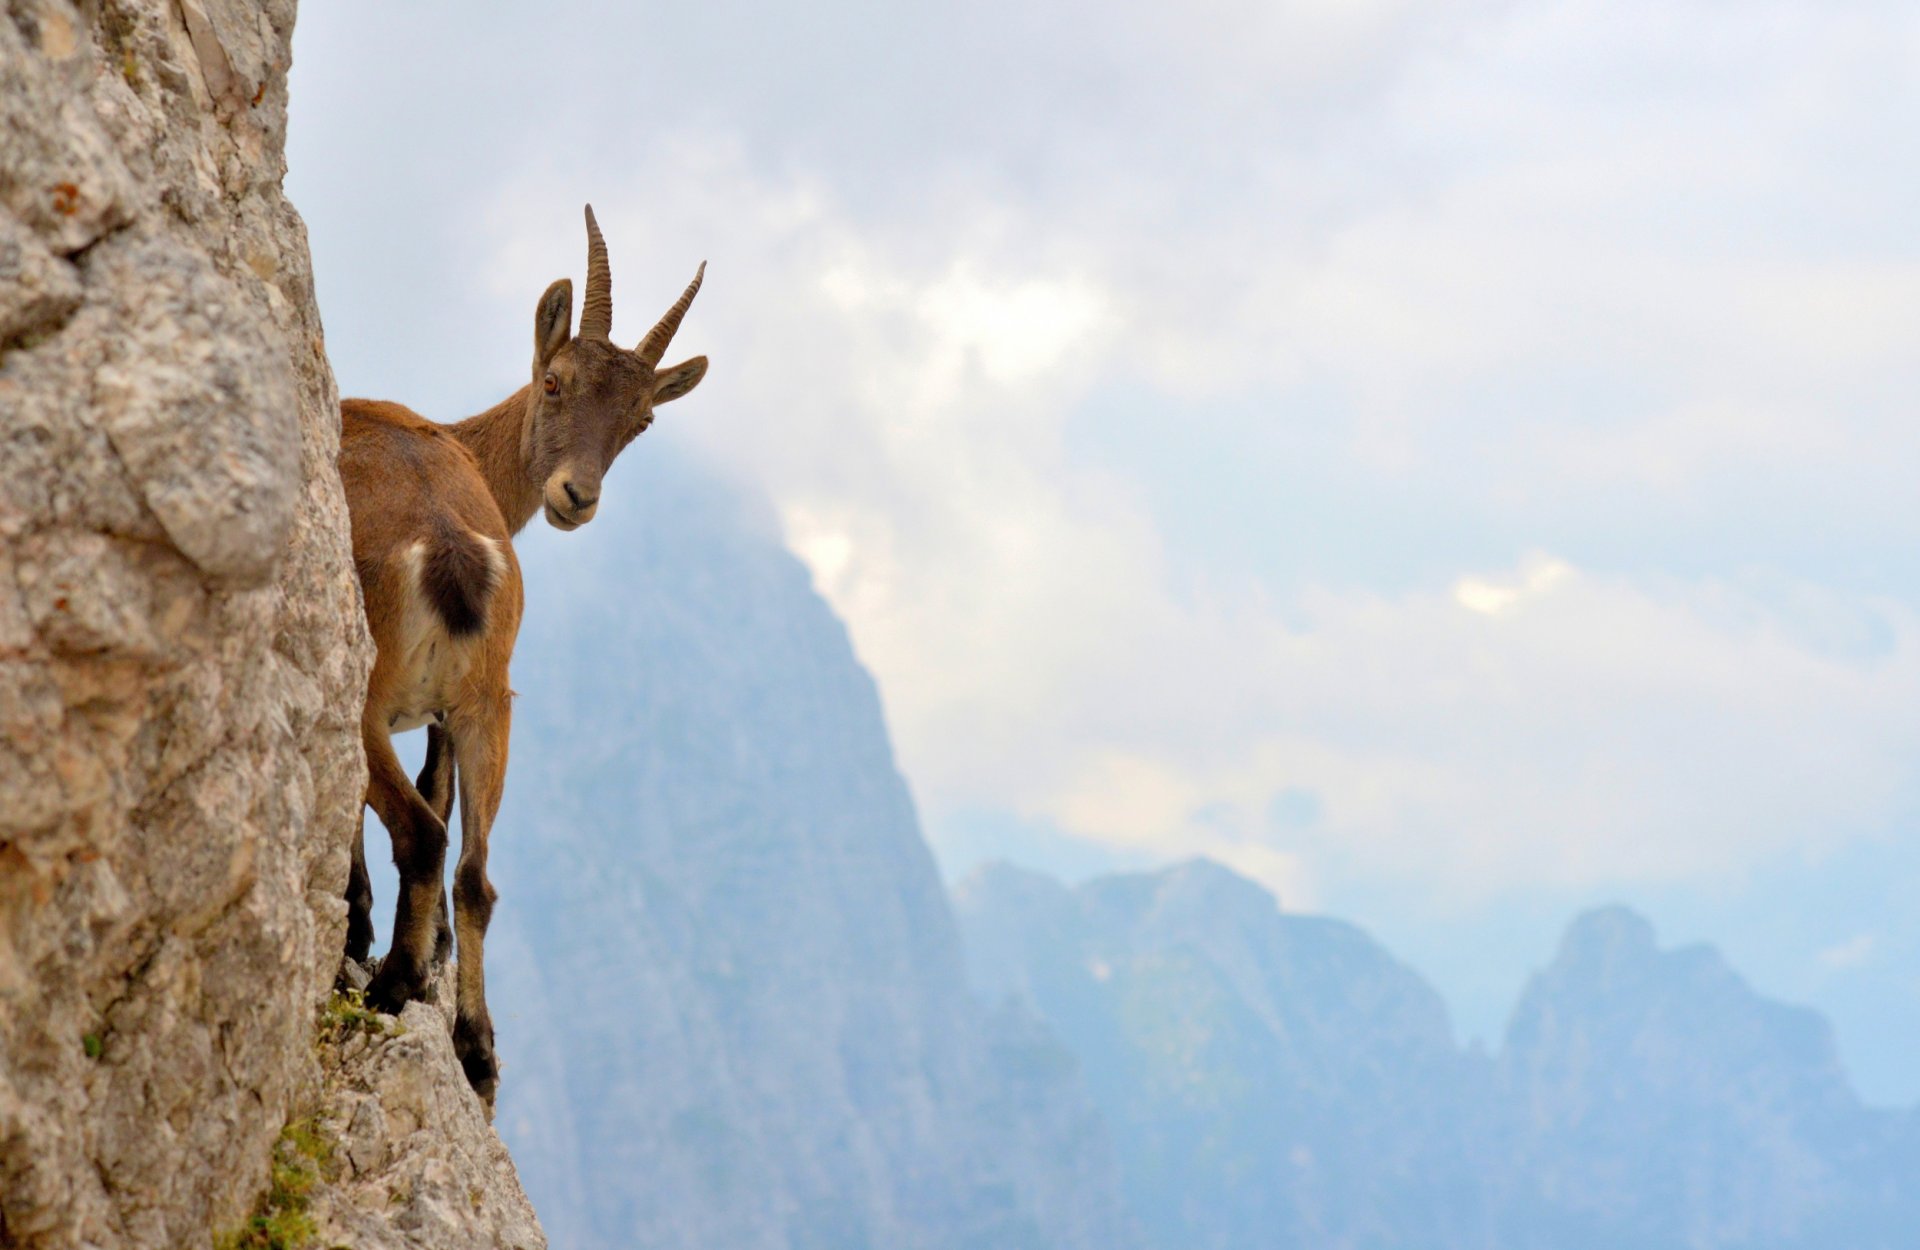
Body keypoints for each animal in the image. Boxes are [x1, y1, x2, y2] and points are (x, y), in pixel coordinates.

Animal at [337, 206, 706, 1107]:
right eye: (556, 382)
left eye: (641, 419)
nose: (577, 495)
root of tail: (446, 548)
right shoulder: (446, 711)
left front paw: (364, 932)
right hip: (490, 702)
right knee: (475, 871)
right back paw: (474, 1051)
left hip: (371, 697)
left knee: (423, 834)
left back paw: (394, 986)